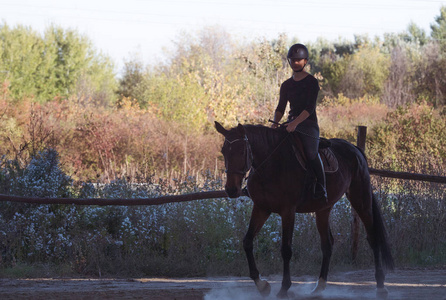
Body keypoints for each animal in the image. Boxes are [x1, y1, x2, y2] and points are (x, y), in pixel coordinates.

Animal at [216, 122, 394, 300]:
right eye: (224, 151)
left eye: (242, 151)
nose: (231, 190)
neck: (271, 164)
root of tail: (354, 148)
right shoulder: (261, 208)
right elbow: (247, 242)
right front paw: (262, 286)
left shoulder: (288, 211)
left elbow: (286, 250)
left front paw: (283, 289)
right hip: (323, 209)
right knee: (327, 244)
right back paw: (319, 287)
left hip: (361, 199)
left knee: (373, 238)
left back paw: (380, 286)